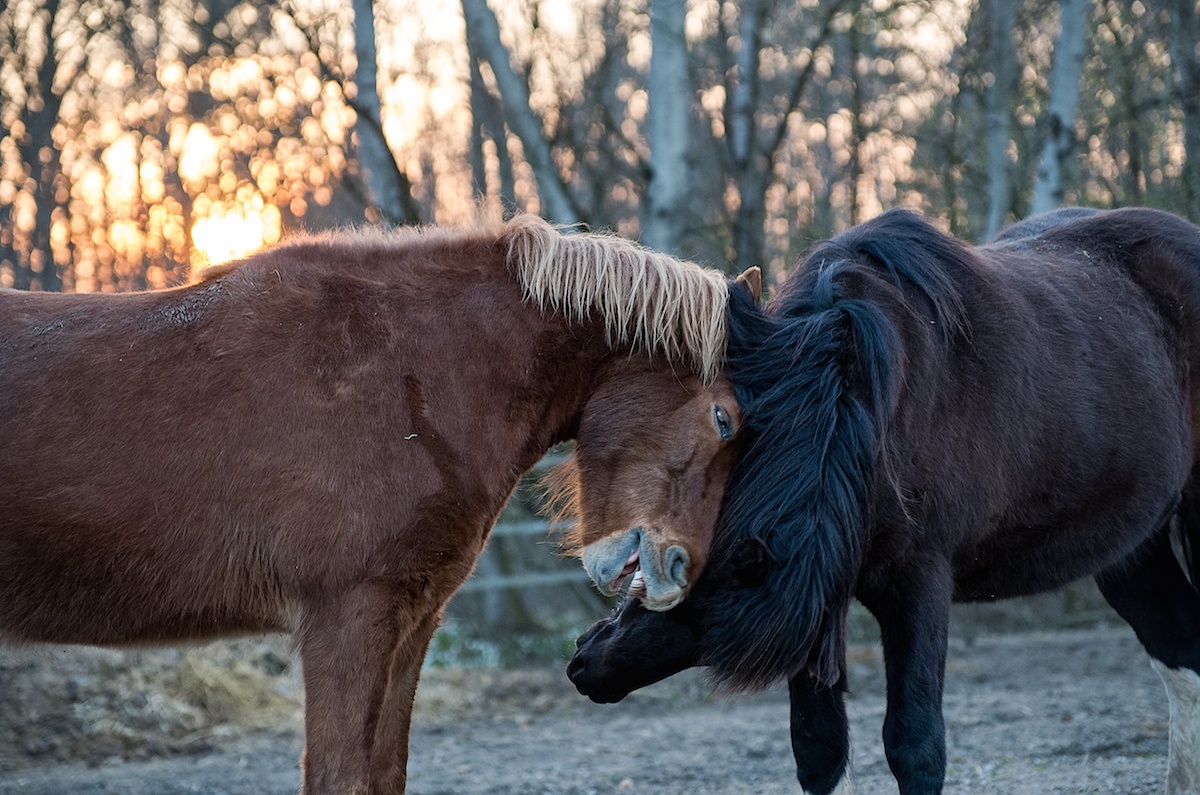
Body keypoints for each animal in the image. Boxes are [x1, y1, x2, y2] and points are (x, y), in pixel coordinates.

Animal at [0, 214, 758, 792]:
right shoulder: (348, 620)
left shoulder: (410, 621)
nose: (677, 571)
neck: (409, 375)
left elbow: (384, 772)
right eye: (725, 420)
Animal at [566, 210, 1200, 795]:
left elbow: (915, 744)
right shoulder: (821, 592)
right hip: (1131, 550)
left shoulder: (917, 583)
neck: (860, 411)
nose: (585, 670)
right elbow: (819, 747)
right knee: (1180, 654)